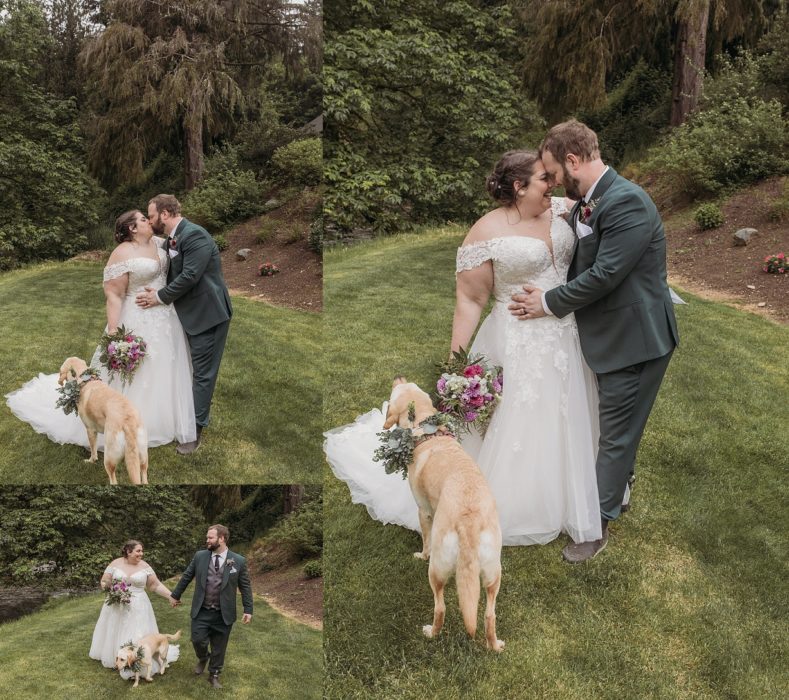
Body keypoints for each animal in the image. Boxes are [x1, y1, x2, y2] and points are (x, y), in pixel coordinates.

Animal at [384, 378, 504, 652]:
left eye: (396, 391)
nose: (399, 377)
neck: (427, 429)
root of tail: (469, 521)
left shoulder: (424, 511)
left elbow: (425, 539)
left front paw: (420, 553)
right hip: (494, 574)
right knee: (489, 615)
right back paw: (494, 645)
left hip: (437, 570)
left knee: (440, 607)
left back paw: (431, 632)